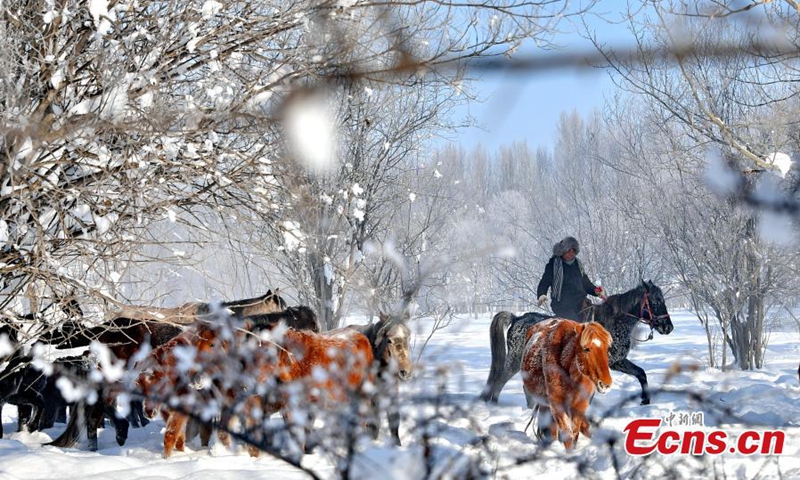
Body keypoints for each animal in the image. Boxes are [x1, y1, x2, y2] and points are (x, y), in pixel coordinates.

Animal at [480, 280, 672, 405]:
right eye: (656, 301)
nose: (668, 327)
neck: (612, 324)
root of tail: (517, 318)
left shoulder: (618, 361)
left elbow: (641, 373)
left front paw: (646, 400)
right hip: (514, 360)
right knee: (499, 381)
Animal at [521, 319, 613, 449]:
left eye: (607, 349)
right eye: (586, 349)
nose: (605, 384)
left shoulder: (580, 404)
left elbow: (575, 433)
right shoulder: (557, 404)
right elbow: (568, 435)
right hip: (545, 403)